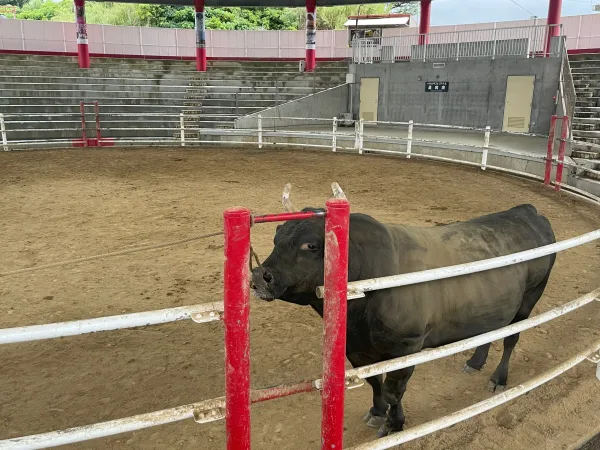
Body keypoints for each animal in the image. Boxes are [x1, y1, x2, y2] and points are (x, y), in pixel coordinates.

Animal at [251, 204, 556, 436]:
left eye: (311, 245)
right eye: (276, 238)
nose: (260, 276)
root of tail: (526, 210)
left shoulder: (406, 346)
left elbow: (393, 392)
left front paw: (394, 424)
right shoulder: (357, 348)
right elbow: (374, 382)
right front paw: (377, 412)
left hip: (529, 298)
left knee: (510, 338)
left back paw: (498, 378)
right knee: (490, 332)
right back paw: (475, 362)